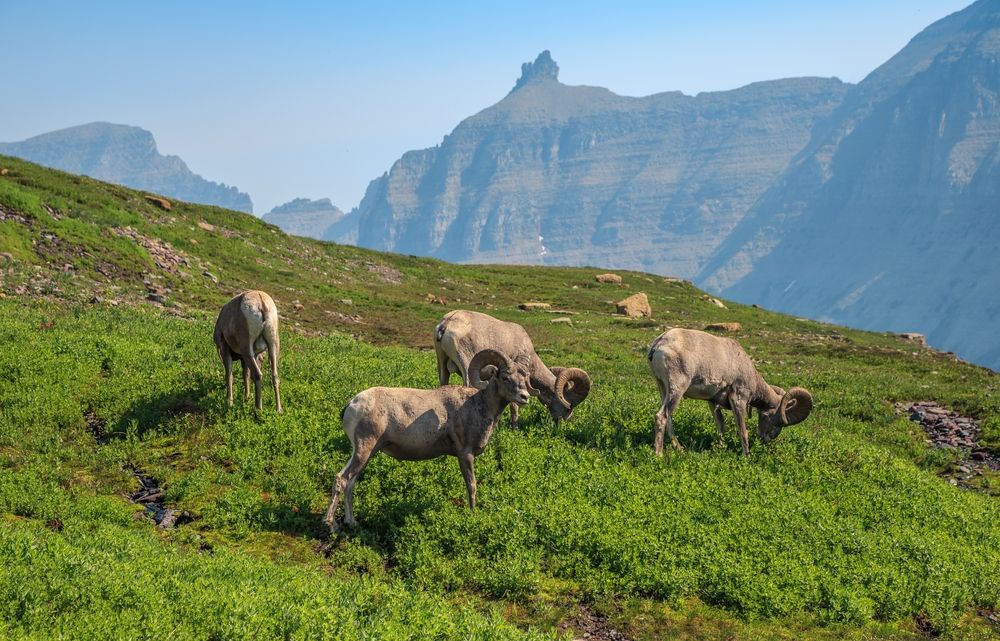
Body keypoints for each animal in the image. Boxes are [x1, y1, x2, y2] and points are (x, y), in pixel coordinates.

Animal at [323, 349, 532, 532]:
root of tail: (351, 405)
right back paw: (331, 525)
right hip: (364, 449)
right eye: (505, 377)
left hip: (364, 453)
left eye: (523, 378)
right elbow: (471, 485)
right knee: (342, 479)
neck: (477, 406)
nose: (525, 397)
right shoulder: (465, 454)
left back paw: (352, 523)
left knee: (350, 482)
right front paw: (472, 515)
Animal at [433, 310, 591, 429]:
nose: (565, 421)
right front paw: (514, 427)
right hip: (466, 366)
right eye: (569, 405)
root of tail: (446, 325)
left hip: (442, 364)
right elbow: (514, 405)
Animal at [647, 328, 813, 456]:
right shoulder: (738, 400)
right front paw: (747, 456)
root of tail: (659, 344)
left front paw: (721, 447)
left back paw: (680, 449)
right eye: (777, 421)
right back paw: (659, 454)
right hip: (677, 388)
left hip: (663, 388)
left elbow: (720, 426)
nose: (765, 440)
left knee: (668, 417)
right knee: (662, 416)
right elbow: (742, 430)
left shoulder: (713, 402)